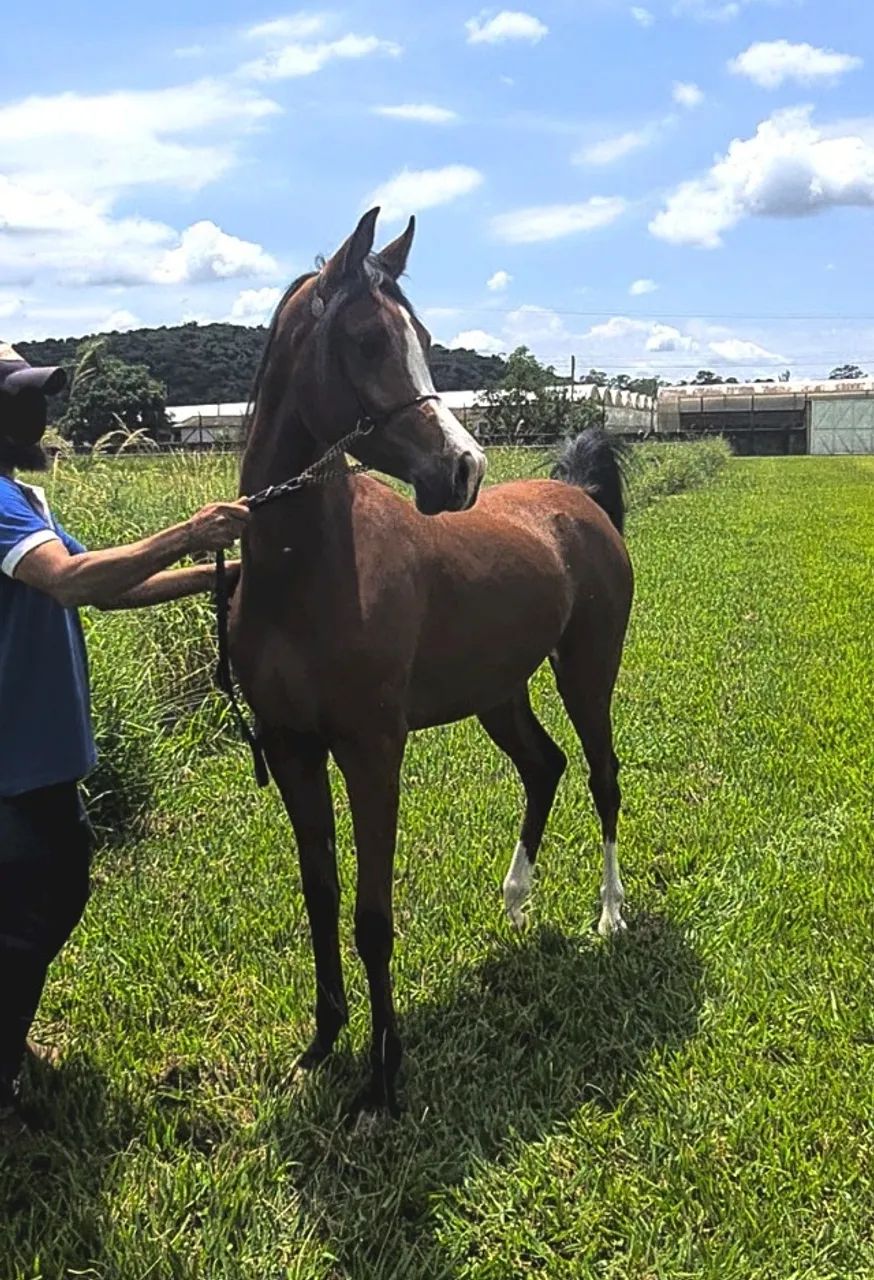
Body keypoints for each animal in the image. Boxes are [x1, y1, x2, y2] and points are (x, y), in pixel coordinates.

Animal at [230, 208, 633, 1116]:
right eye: (366, 340)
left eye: (420, 337)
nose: (464, 469)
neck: (307, 569)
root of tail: (580, 499)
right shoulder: (295, 750)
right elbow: (322, 898)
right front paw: (322, 1045)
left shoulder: (372, 752)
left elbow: (373, 916)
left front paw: (382, 1077)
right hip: (500, 693)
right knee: (544, 767)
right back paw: (517, 904)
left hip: (586, 674)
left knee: (602, 777)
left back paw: (609, 915)